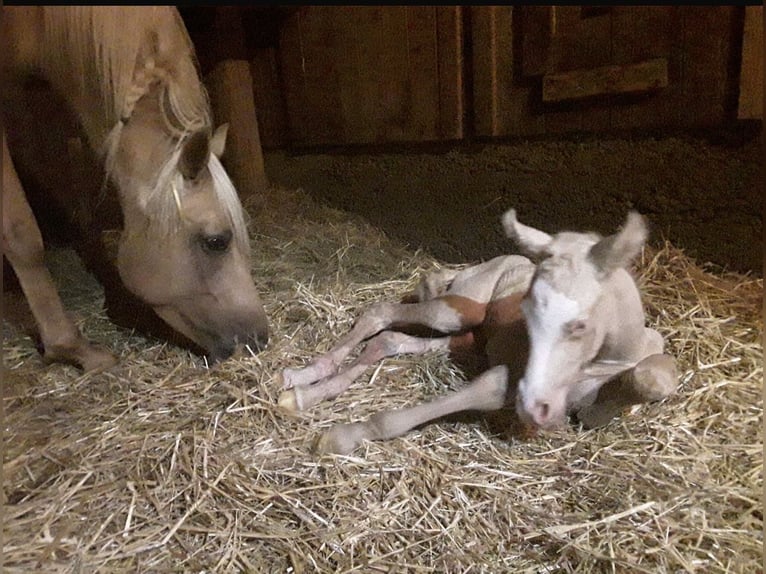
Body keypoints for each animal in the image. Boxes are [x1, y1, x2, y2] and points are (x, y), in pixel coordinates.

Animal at [278, 209, 679, 455]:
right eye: (526, 310)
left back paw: (308, 391)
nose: (534, 406)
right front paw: (340, 436)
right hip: (456, 312)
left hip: (466, 340)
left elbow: (646, 380)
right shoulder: (514, 375)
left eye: (579, 325)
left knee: (391, 340)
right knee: (382, 312)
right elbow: (490, 388)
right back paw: (301, 378)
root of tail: (493, 262)